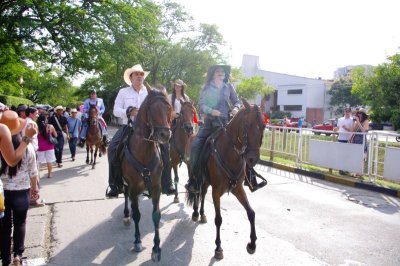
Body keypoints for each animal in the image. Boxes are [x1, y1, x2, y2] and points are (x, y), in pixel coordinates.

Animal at [121, 87, 173, 262]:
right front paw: (137, 241)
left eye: (169, 108)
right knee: (125, 196)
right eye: (152, 109)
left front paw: (156, 248)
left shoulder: (156, 187)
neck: (144, 151)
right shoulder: (132, 187)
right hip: (125, 185)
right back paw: (126, 215)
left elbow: (156, 215)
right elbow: (137, 214)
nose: (165, 135)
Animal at [187, 98, 268, 258]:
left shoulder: (238, 188)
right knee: (196, 192)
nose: (252, 159)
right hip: (196, 176)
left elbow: (251, 213)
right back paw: (195, 212)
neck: (230, 153)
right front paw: (218, 248)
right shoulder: (216, 191)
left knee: (202, 193)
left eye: (263, 125)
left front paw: (252, 244)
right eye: (247, 125)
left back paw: (202, 214)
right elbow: (218, 219)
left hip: (206, 182)